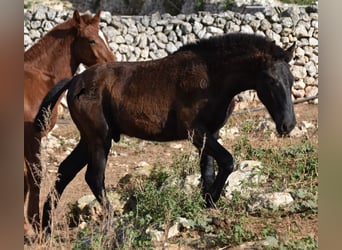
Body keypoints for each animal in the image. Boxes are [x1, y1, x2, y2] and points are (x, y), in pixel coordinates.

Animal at [23, 9, 116, 232]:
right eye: (91, 40)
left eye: (106, 38)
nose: (112, 63)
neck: (38, 76)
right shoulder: (31, 136)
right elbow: (34, 177)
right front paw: (34, 224)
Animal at [35, 32, 296, 232]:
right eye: (271, 81)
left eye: (292, 80)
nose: (288, 125)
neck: (210, 76)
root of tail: (75, 80)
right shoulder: (195, 132)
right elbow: (227, 161)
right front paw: (210, 200)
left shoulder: (210, 134)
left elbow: (208, 170)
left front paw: (207, 204)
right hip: (100, 139)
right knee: (94, 177)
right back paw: (111, 219)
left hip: (88, 140)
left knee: (65, 171)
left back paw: (45, 227)